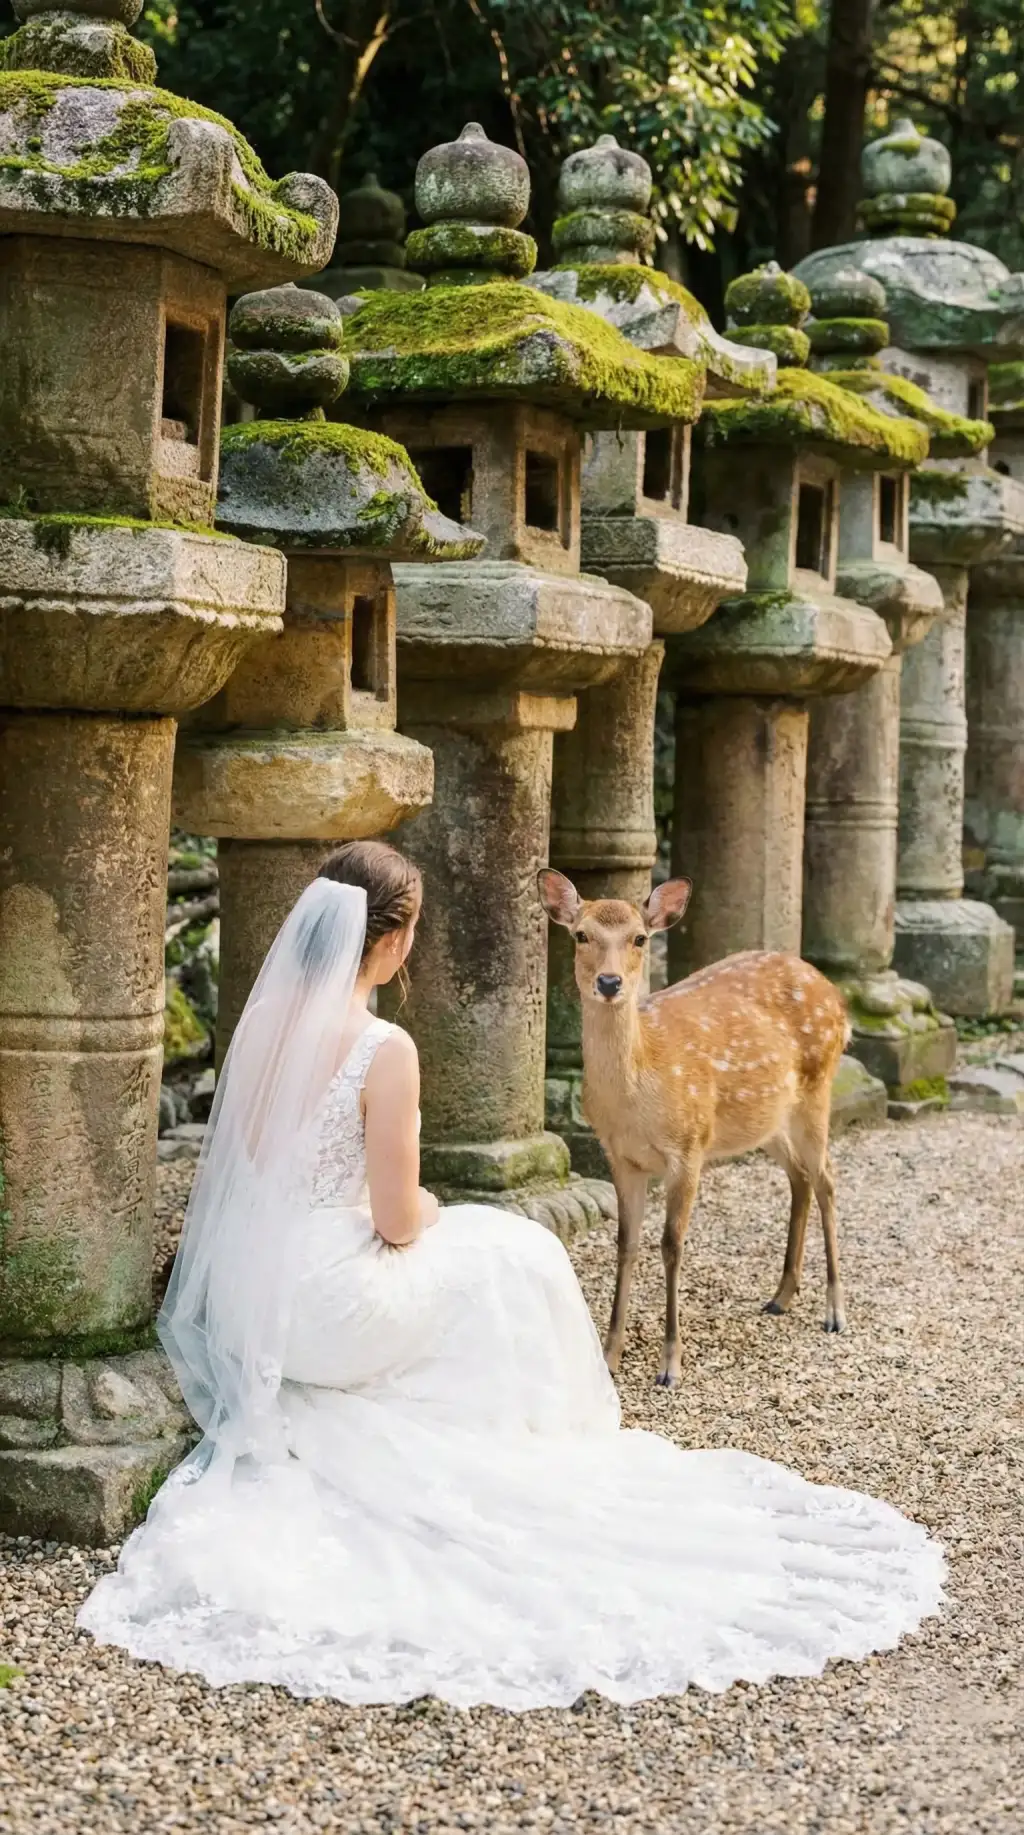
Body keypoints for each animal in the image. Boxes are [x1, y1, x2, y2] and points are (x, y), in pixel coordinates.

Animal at [538, 870, 850, 1387]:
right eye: (581, 935)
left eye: (640, 938)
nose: (609, 982)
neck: (637, 1095)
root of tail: (836, 996)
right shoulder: (619, 1156)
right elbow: (626, 1244)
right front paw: (610, 1355)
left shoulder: (688, 1147)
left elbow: (672, 1245)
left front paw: (670, 1365)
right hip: (767, 1121)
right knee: (801, 1177)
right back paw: (781, 1296)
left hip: (817, 1088)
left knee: (827, 1178)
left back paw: (835, 1311)